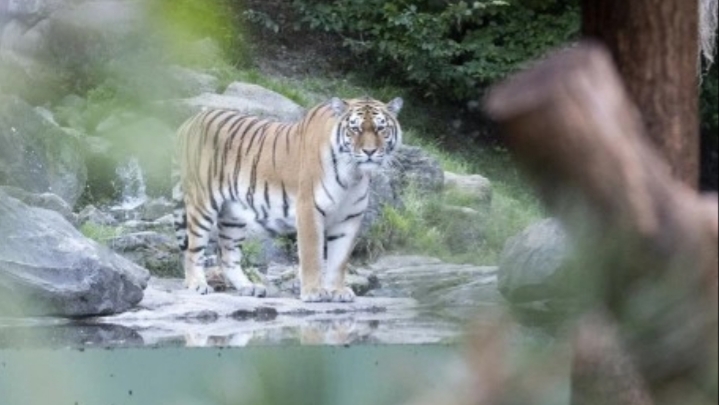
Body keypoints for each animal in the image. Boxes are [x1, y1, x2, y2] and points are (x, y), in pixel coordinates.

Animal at [173, 96, 403, 302]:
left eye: (381, 129)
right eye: (354, 129)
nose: (369, 151)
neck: (353, 174)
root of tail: (189, 122)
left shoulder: (349, 218)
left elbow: (339, 260)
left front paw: (337, 291)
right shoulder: (309, 209)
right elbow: (312, 255)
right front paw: (313, 292)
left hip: (233, 215)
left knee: (227, 256)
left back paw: (249, 287)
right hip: (202, 203)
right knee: (192, 249)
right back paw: (197, 284)